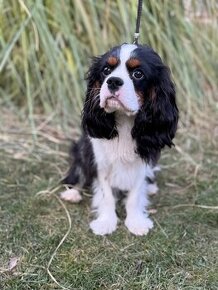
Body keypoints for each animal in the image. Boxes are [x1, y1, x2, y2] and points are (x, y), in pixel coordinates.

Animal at [60, 44, 178, 237]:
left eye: (138, 74)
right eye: (106, 70)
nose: (113, 81)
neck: (124, 121)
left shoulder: (143, 161)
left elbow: (135, 195)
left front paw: (136, 222)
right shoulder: (100, 162)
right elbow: (106, 196)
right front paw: (106, 222)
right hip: (81, 149)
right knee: (80, 171)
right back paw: (73, 193)